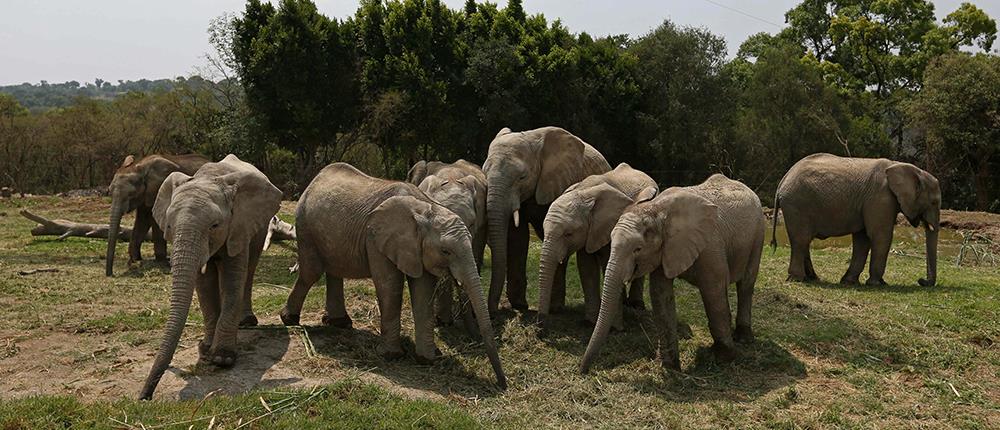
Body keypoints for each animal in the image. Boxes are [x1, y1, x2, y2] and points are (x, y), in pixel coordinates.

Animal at [139, 155, 284, 400]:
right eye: (169, 226)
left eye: (215, 225)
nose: (145, 397)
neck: (209, 178)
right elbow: (204, 285)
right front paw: (206, 350)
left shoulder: (239, 225)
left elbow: (233, 278)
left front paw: (223, 359)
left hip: (260, 226)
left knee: (248, 272)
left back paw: (246, 322)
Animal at [482, 126, 612, 314]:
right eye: (484, 173)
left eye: (522, 177)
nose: (494, 311)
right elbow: (517, 237)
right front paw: (519, 305)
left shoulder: (560, 182)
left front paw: (552, 308)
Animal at [580, 174, 764, 372]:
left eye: (638, 249)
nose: (584, 371)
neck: (658, 210)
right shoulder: (663, 249)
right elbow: (660, 295)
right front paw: (669, 367)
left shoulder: (710, 245)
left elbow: (714, 291)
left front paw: (723, 358)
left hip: (758, 235)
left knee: (746, 284)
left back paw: (743, 339)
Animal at [768, 153, 940, 288]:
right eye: (934, 202)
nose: (921, 280)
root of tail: (782, 182)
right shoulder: (880, 198)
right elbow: (880, 236)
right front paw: (878, 284)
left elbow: (863, 239)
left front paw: (849, 282)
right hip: (797, 205)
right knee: (801, 240)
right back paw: (797, 279)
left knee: (804, 241)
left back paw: (812, 278)